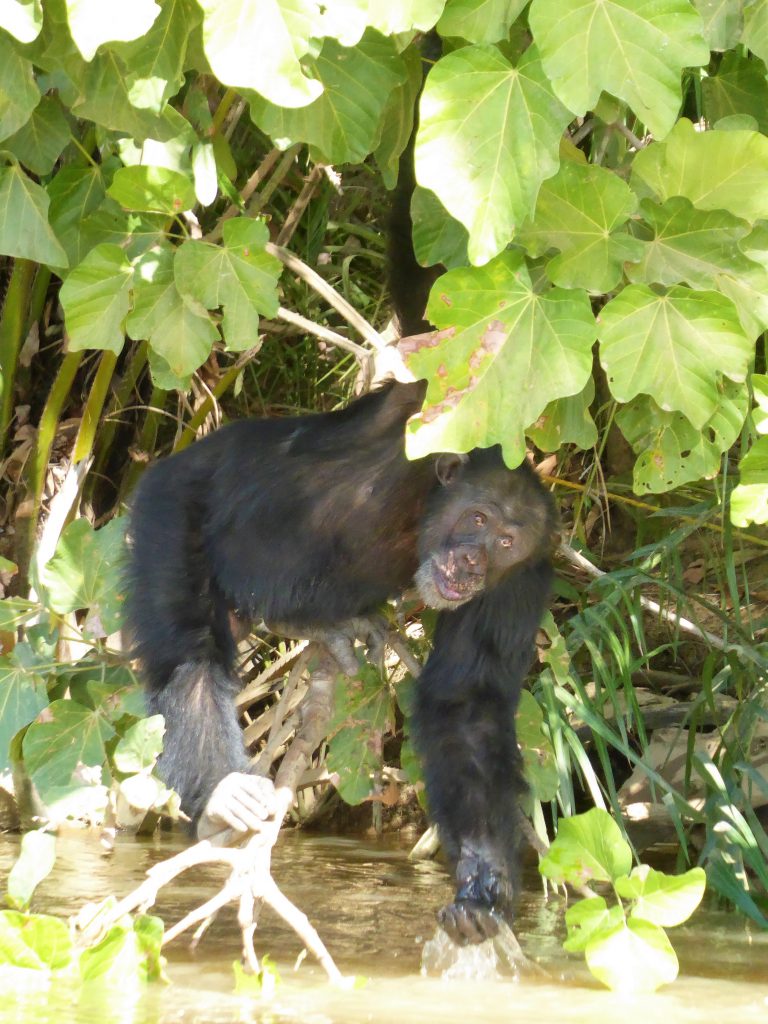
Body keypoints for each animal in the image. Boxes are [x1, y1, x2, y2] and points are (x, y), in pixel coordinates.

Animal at [126, 380, 561, 946]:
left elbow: (466, 704)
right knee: (191, 643)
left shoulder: (519, 581)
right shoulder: (404, 422)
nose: (472, 560)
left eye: (507, 541)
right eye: (479, 518)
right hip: (171, 506)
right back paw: (223, 789)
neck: (421, 513)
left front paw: (485, 879)